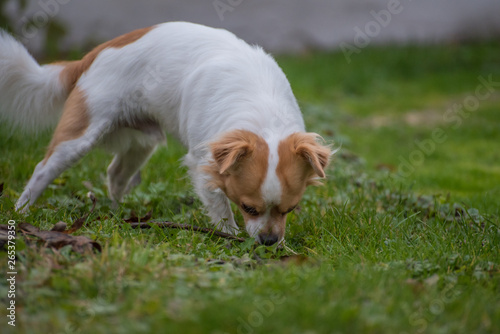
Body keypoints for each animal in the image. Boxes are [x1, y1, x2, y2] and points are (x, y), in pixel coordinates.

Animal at [0, 21, 332, 245]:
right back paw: (22, 210)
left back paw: (116, 213)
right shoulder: (202, 164)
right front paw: (230, 236)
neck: (263, 113)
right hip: (81, 134)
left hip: (141, 143)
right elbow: (220, 209)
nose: (268, 241)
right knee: (43, 168)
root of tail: (96, 52)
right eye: (248, 208)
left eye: (291, 209)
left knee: (115, 174)